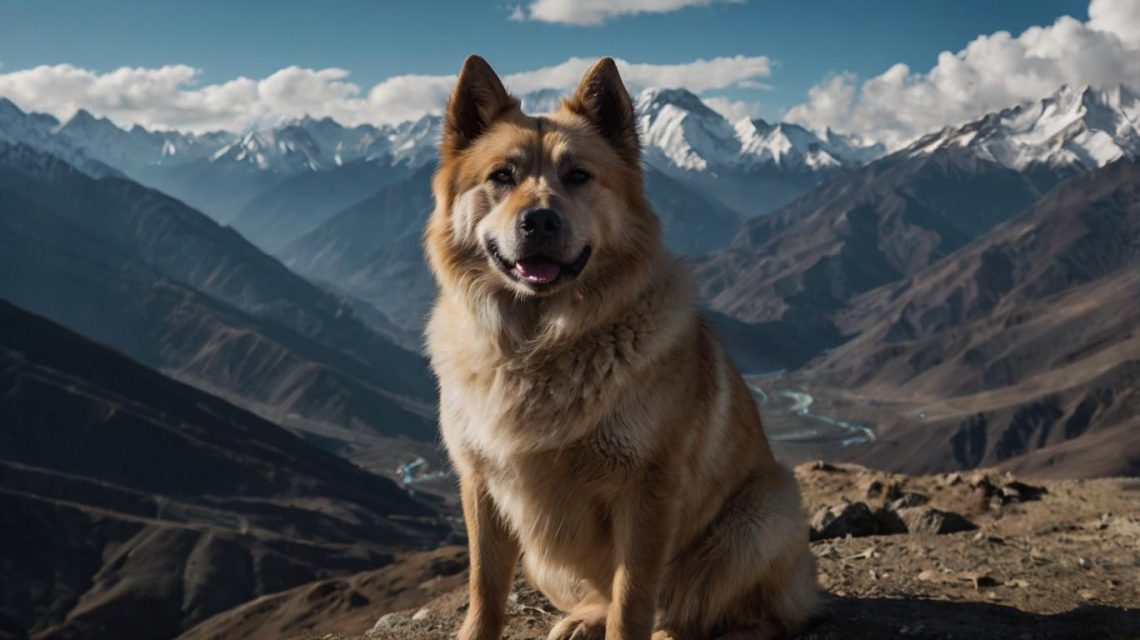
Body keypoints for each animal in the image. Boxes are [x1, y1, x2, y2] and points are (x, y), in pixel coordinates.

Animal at [424, 54, 816, 638]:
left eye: (578, 176)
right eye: (502, 176)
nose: (540, 220)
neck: (540, 342)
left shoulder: (648, 488)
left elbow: (631, 599)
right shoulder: (480, 483)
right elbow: (485, 588)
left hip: (763, 515)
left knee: (734, 608)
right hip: (543, 555)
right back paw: (584, 619)